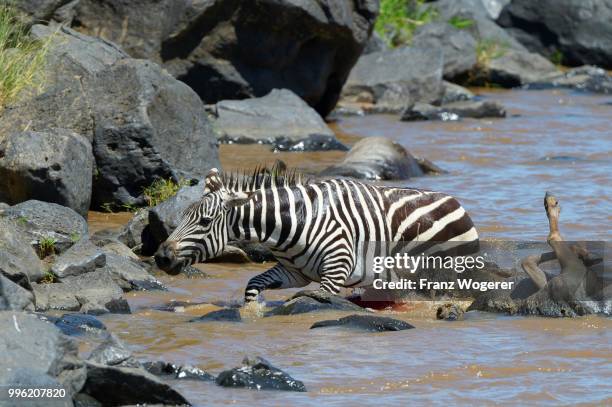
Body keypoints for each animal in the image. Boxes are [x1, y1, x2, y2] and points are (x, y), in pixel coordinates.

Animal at [154, 166, 478, 302]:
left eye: (205, 221)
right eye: (183, 217)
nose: (160, 257)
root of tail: (458, 203)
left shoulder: (336, 272)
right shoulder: (294, 272)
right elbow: (253, 285)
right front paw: (252, 312)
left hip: (440, 273)